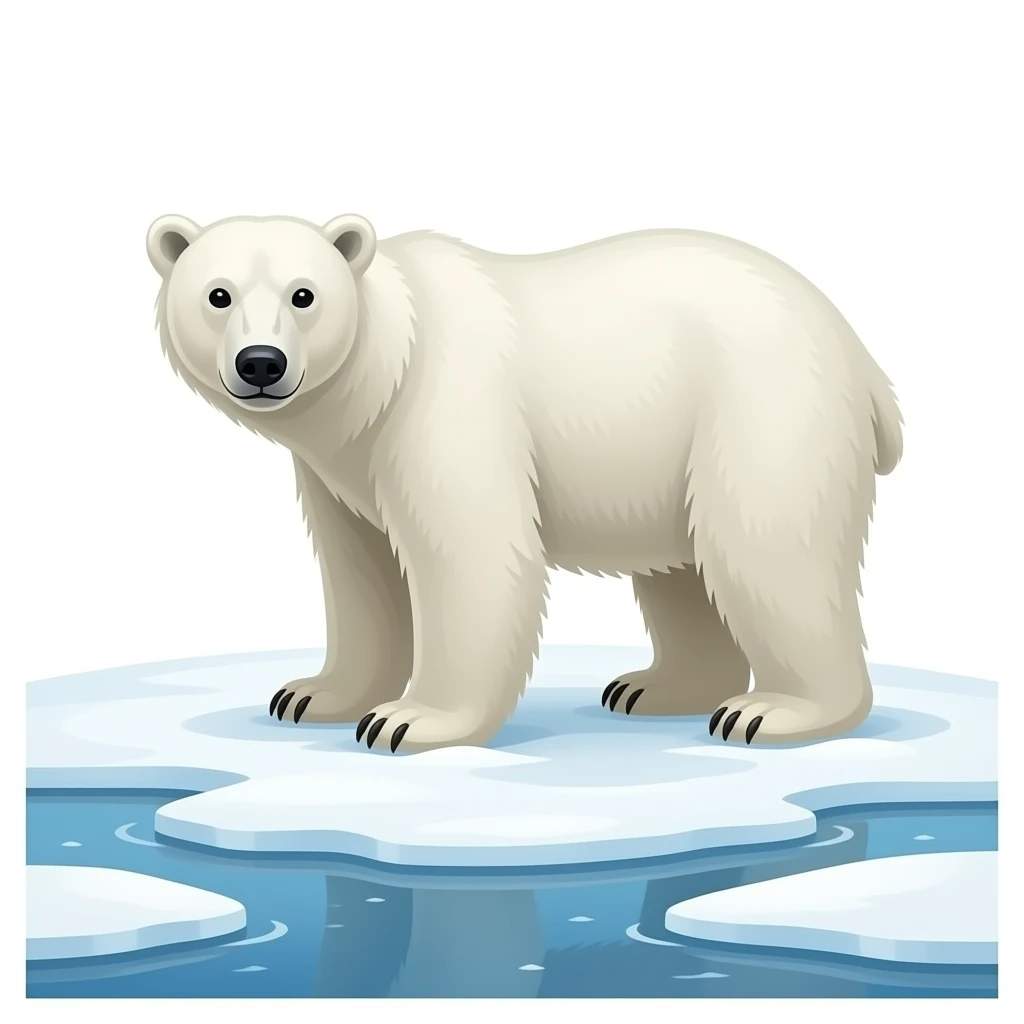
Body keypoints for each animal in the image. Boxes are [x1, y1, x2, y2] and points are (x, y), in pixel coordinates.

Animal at [146, 214, 903, 753]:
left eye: (305, 295)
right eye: (217, 295)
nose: (261, 362)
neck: (383, 370)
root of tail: (861, 357)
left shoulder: (443, 407)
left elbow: (471, 555)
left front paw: (407, 721)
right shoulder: (339, 465)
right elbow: (358, 572)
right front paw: (312, 696)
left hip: (761, 410)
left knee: (761, 551)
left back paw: (772, 711)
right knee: (683, 572)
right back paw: (655, 688)